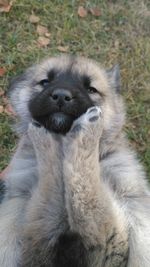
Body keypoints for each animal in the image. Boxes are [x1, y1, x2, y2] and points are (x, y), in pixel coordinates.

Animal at [0, 55, 149, 267]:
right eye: (45, 82)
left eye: (91, 89)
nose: (62, 96)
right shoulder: (19, 203)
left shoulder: (128, 206)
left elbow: (86, 193)